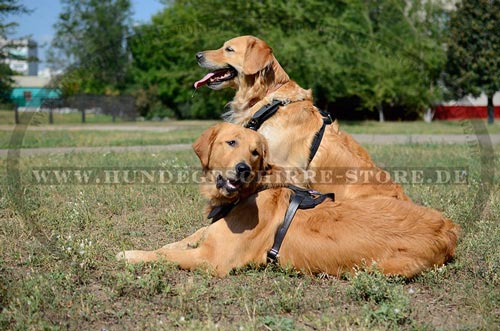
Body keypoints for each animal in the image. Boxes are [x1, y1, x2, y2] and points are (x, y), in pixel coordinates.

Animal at [116, 123, 458, 278]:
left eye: (256, 152)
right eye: (231, 142)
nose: (242, 169)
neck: (250, 192)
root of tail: (448, 228)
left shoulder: (215, 260)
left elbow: (164, 256)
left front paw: (130, 255)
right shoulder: (210, 234)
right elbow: (178, 242)